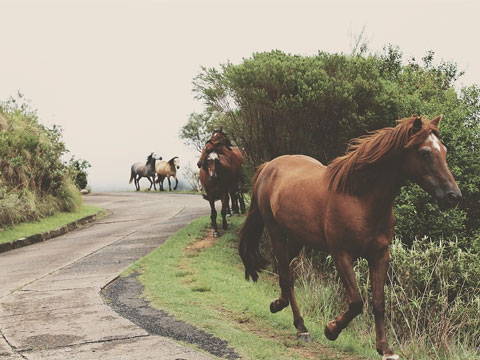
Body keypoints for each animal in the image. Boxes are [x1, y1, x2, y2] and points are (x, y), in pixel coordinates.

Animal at [239, 116, 462, 360]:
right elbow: (356, 302)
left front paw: (385, 349)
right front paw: (331, 330)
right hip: (276, 231)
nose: (453, 196)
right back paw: (301, 327)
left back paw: (281, 307)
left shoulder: (380, 255)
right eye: (425, 153)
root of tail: (268, 166)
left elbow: (378, 302)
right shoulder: (342, 254)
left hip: (298, 238)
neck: (360, 199)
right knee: (286, 276)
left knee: (284, 270)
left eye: (444, 150)